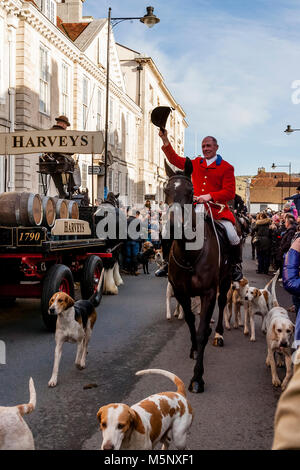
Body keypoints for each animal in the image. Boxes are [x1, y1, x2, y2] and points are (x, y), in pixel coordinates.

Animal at [164, 157, 232, 392]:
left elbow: (202, 330)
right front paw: (193, 348)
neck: (189, 253)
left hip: (226, 280)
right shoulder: (181, 291)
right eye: (165, 190)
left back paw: (218, 333)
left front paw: (197, 377)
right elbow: (191, 321)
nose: (173, 227)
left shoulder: (208, 292)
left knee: (222, 302)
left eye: (190, 191)